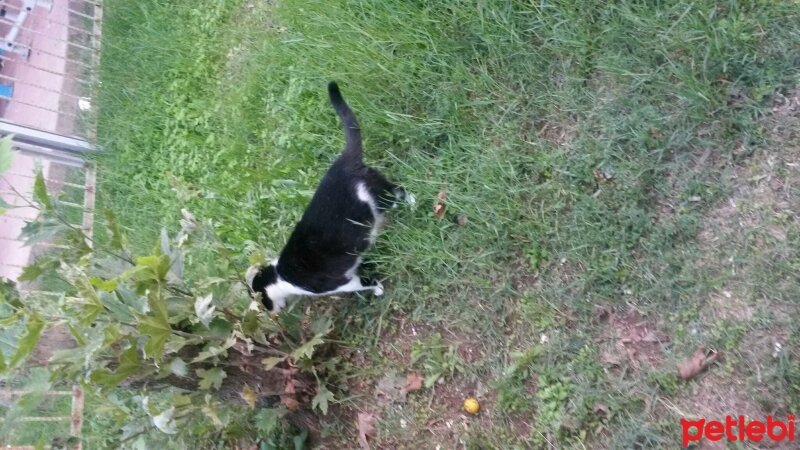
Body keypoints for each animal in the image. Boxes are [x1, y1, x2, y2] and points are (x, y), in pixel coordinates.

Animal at [247, 81, 416, 312]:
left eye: (262, 302)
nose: (270, 313)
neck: (280, 278)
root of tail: (343, 161)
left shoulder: (342, 282)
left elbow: (365, 282)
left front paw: (378, 289)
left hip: (377, 196)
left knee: (399, 192)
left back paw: (413, 206)